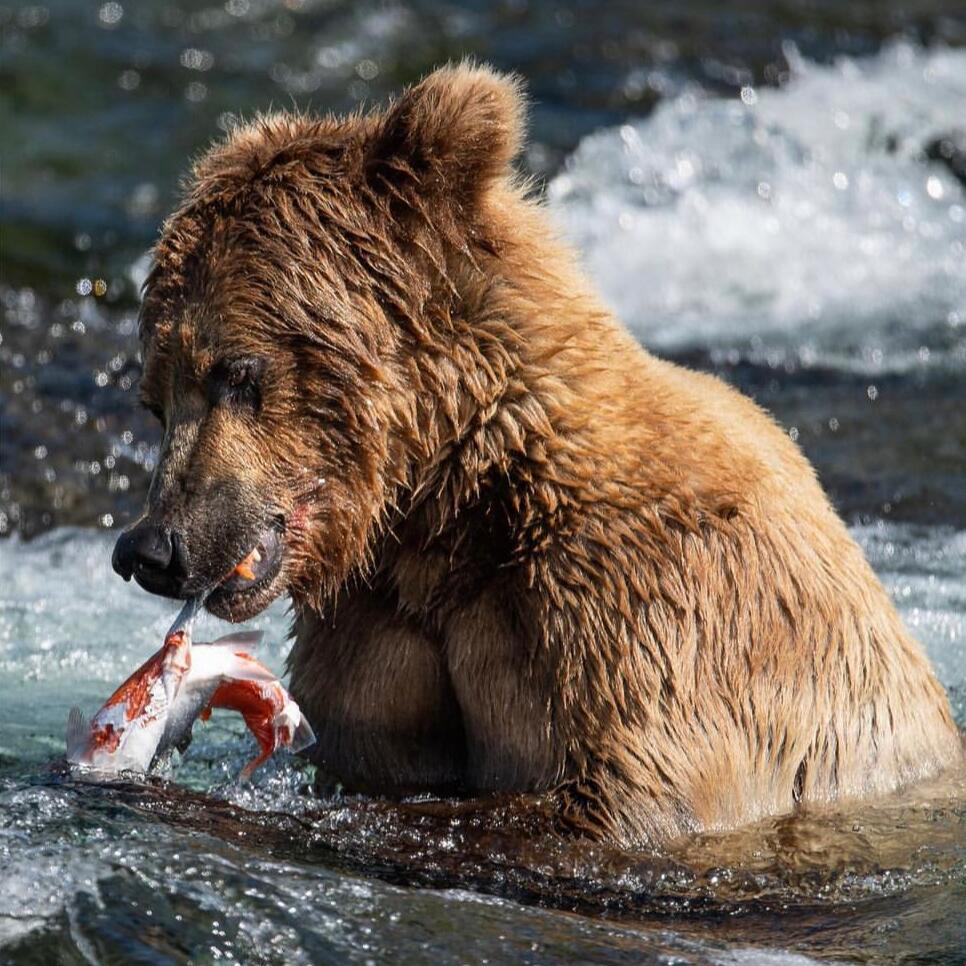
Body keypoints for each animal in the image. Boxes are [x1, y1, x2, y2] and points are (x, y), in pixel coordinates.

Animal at [113, 63, 962, 848]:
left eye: (235, 371)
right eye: (154, 396)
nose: (151, 548)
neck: (451, 507)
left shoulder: (651, 620)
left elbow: (618, 801)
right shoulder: (377, 635)